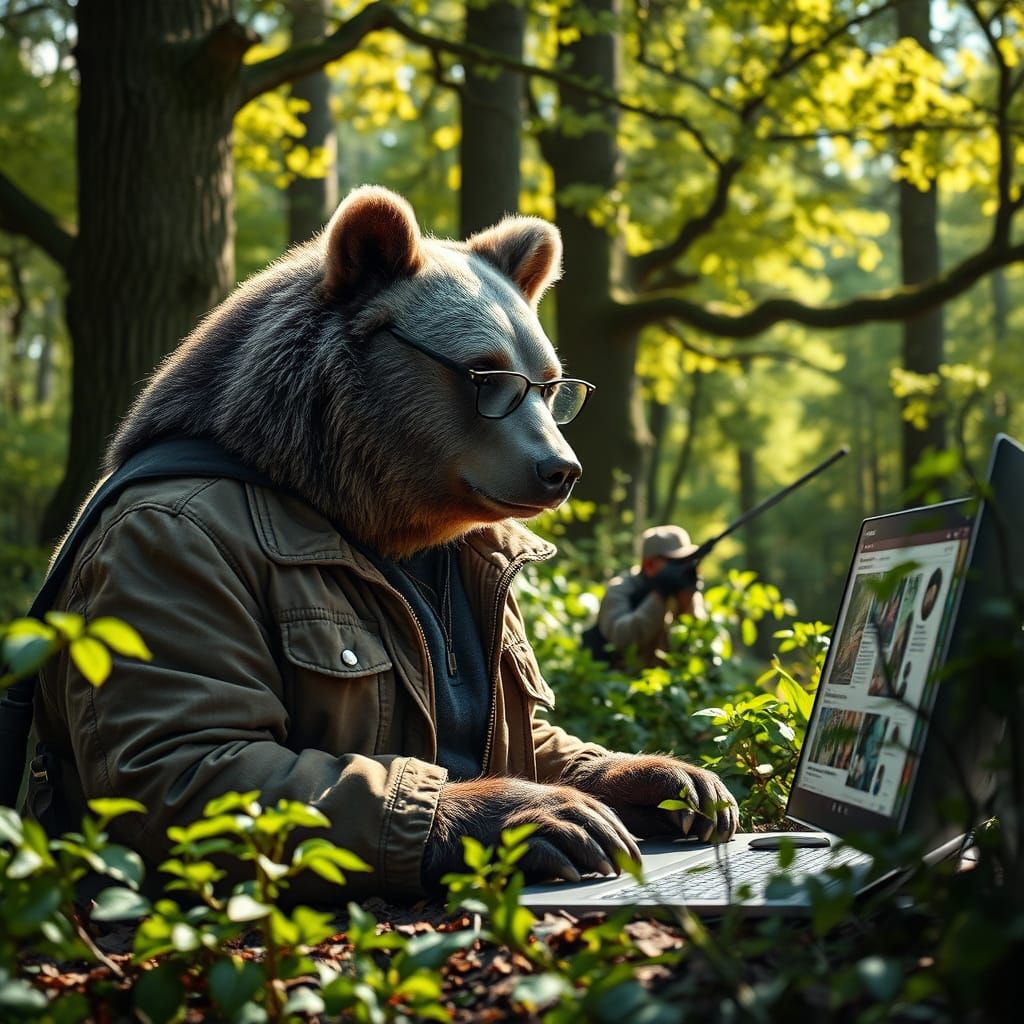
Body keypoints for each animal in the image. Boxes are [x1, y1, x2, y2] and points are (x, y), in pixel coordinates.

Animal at [33, 186, 738, 900]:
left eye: (553, 384)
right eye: (488, 374)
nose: (560, 469)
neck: (361, 498)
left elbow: (534, 727)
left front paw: (675, 778)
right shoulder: (172, 548)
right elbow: (201, 752)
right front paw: (547, 813)